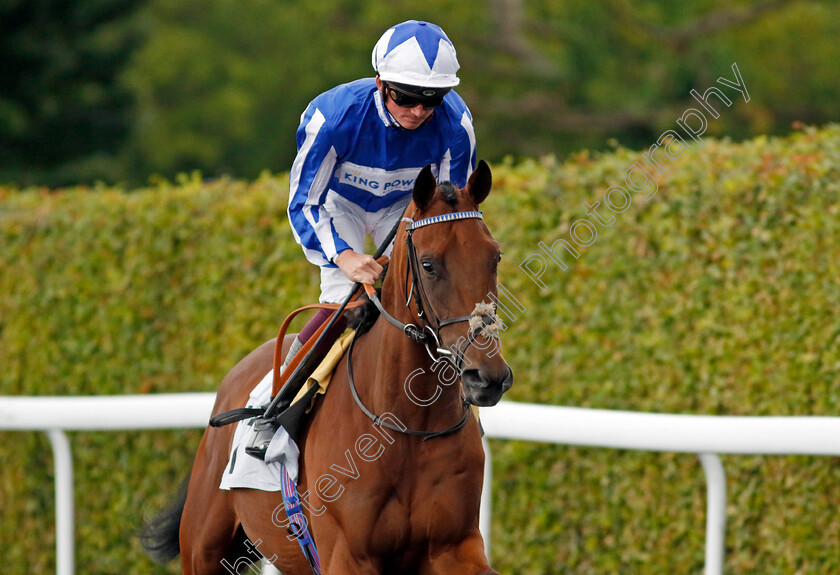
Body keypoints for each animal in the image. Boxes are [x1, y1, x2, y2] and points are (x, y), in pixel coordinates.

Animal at [139, 160, 512, 572]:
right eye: (429, 265)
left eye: (494, 257)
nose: (487, 377)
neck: (407, 426)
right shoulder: (348, 553)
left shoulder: (454, 545)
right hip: (204, 546)